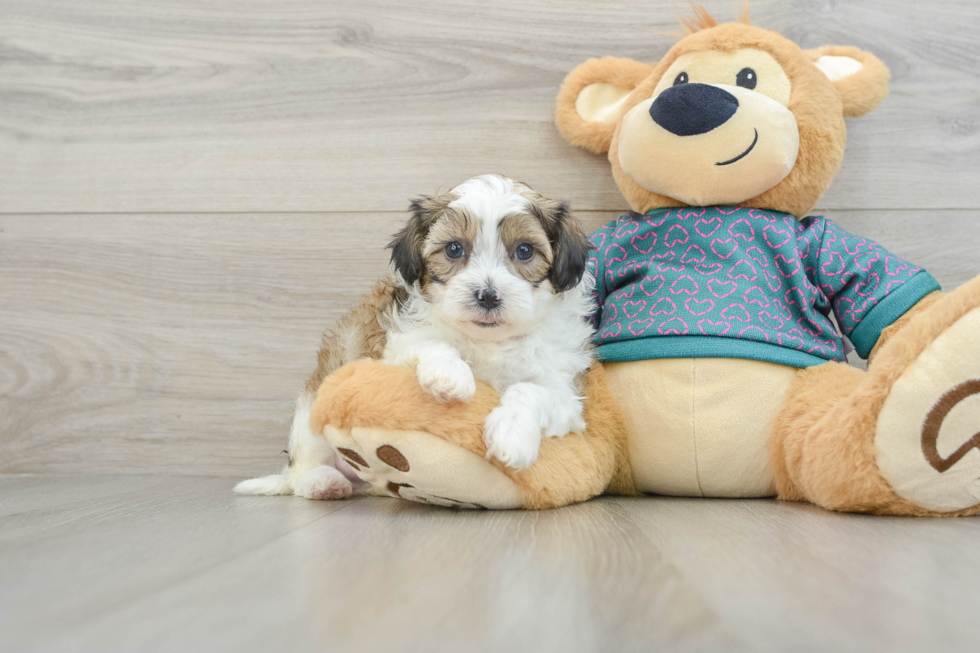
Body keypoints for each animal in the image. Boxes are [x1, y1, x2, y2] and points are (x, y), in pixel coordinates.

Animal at [235, 174, 596, 500]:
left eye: (524, 251)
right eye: (454, 249)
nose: (487, 295)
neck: (487, 342)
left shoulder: (566, 395)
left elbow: (532, 391)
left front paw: (512, 435)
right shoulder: (392, 347)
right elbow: (430, 343)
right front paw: (451, 375)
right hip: (314, 406)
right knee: (303, 469)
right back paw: (323, 482)